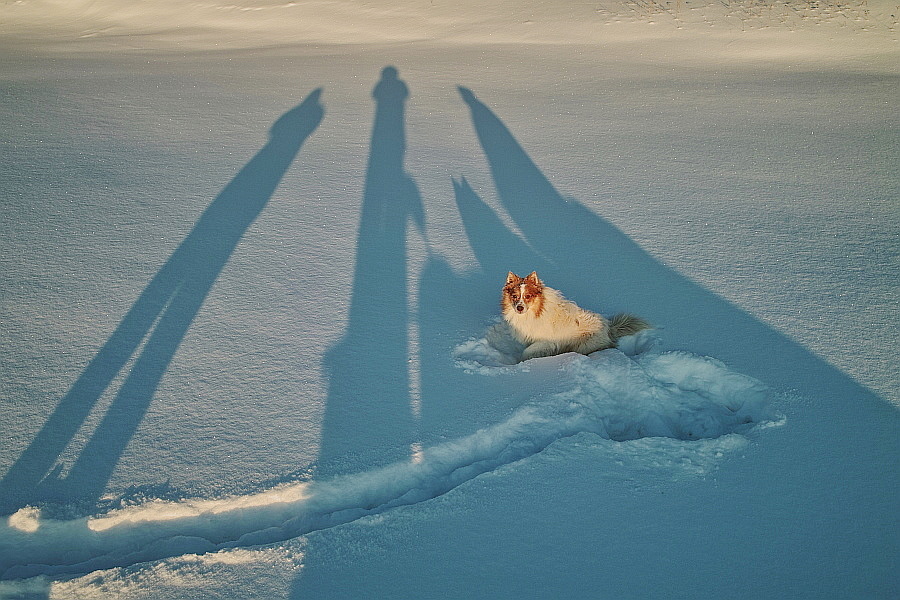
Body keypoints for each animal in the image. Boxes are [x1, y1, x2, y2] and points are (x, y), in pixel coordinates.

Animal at [500, 272, 648, 360]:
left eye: (528, 296)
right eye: (515, 296)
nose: (519, 308)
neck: (536, 311)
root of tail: (609, 327)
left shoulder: (545, 342)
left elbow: (527, 352)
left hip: (584, 345)